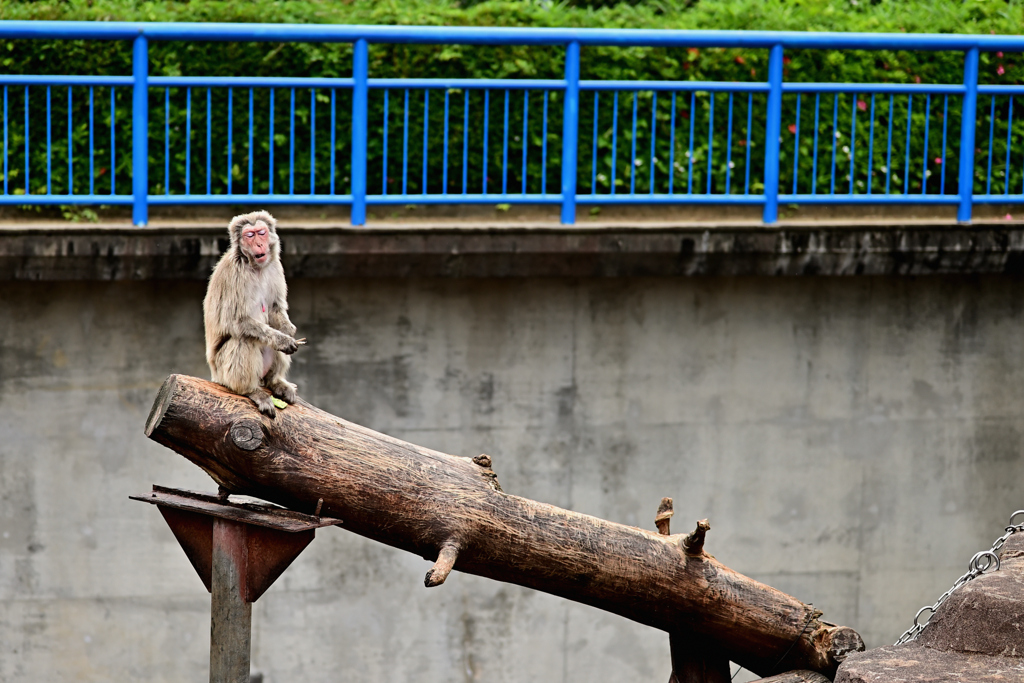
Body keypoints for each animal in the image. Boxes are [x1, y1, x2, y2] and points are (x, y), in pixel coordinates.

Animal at [202, 210, 303, 419]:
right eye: (250, 235)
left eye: (261, 233)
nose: (259, 244)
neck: (255, 268)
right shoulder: (236, 274)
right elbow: (237, 322)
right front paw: (282, 339)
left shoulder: (275, 266)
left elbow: (275, 308)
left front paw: (288, 330)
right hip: (223, 374)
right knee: (243, 339)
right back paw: (250, 390)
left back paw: (275, 382)